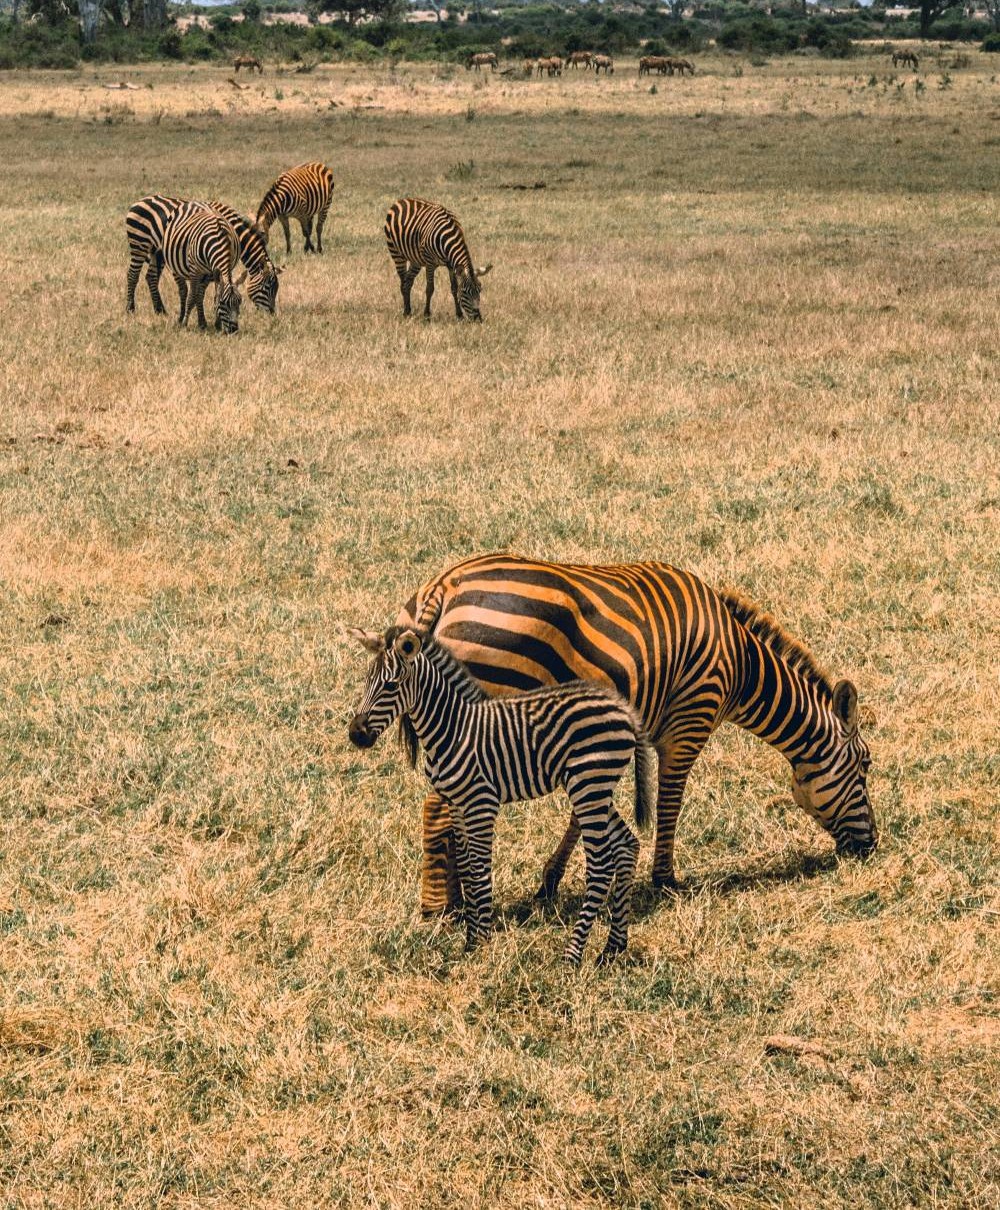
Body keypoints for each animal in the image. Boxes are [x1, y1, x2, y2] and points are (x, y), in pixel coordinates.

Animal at [125, 196, 280, 315]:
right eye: (267, 288)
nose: (272, 314)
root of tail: (141, 200)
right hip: (140, 244)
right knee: (133, 275)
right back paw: (130, 309)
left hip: (156, 252)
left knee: (150, 277)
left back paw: (160, 310)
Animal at [161, 202, 242, 333]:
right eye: (224, 303)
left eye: (240, 301)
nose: (233, 330)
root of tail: (193, 202)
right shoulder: (195, 271)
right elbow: (192, 297)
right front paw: (185, 323)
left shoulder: (211, 272)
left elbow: (204, 295)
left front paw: (210, 323)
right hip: (176, 267)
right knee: (183, 291)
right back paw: (181, 318)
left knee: (199, 294)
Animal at [348, 628, 655, 966]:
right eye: (366, 681)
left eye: (391, 685)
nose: (356, 734)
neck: (452, 728)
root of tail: (623, 708)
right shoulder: (457, 804)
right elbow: (467, 868)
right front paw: (471, 938)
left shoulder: (481, 803)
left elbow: (480, 869)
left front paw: (480, 941)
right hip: (597, 788)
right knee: (627, 845)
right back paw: (612, 948)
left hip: (588, 784)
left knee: (601, 865)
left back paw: (572, 956)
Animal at [390, 555, 878, 918]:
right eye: (865, 766)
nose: (872, 846)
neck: (742, 666)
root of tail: (445, 587)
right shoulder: (688, 723)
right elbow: (670, 802)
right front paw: (665, 878)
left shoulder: (603, 734)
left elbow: (583, 812)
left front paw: (549, 882)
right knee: (439, 808)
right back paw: (442, 907)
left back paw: (457, 900)